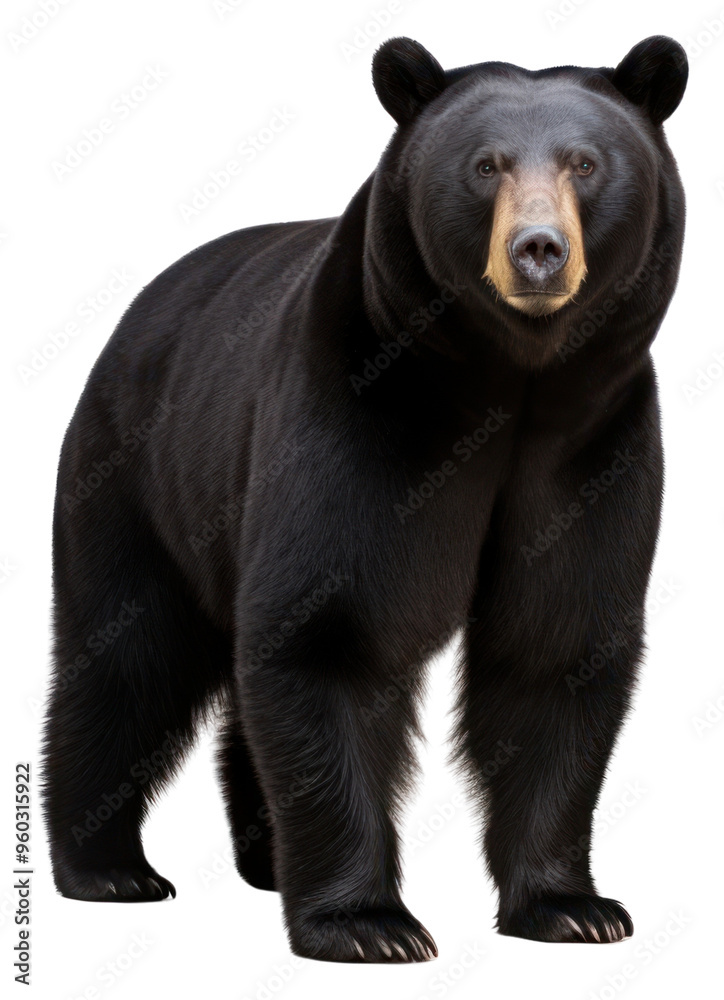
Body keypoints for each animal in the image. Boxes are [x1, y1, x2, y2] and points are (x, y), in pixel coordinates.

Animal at [41, 35, 687, 963]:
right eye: (485, 165)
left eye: (586, 163)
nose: (538, 249)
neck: (513, 383)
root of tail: (143, 306)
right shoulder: (359, 413)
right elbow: (332, 628)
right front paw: (369, 924)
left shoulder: (594, 444)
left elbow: (555, 643)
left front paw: (573, 907)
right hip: (138, 481)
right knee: (126, 656)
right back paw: (108, 869)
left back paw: (264, 857)